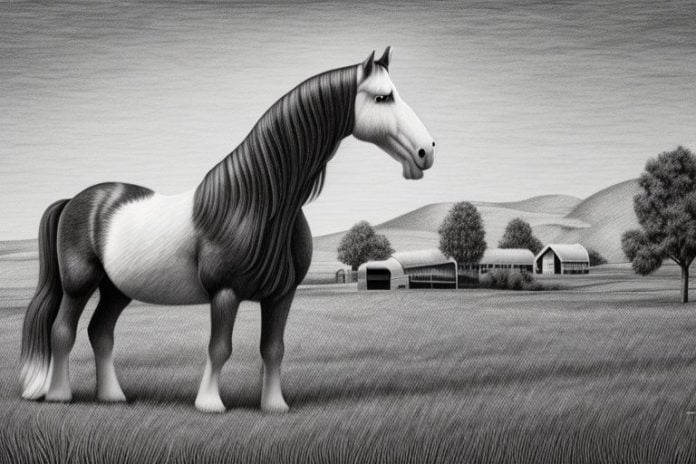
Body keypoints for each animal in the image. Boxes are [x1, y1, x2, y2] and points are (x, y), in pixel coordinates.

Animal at [19, 47, 435, 413]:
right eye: (383, 97)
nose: (427, 151)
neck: (256, 203)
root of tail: (78, 200)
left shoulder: (281, 296)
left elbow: (273, 349)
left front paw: (274, 406)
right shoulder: (225, 293)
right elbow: (220, 348)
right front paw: (209, 404)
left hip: (117, 289)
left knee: (100, 333)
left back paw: (112, 397)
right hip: (80, 284)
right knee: (63, 331)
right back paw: (59, 395)